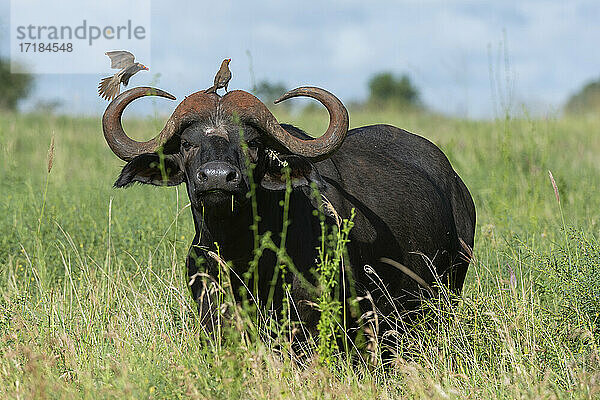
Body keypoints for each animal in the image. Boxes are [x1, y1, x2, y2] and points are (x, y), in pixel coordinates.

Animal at [104, 86, 478, 340]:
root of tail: (457, 187)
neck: (244, 253)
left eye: (253, 143)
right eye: (186, 144)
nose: (218, 177)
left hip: (445, 292)